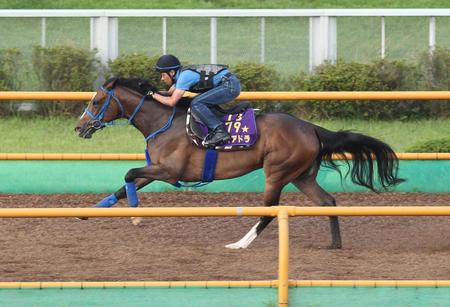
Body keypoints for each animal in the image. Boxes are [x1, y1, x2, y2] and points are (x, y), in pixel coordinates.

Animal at [74, 77, 404, 250]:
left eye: (95, 102)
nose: (79, 128)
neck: (162, 121)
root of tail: (311, 128)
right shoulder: (156, 169)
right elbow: (125, 182)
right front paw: (87, 212)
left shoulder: (170, 171)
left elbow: (129, 173)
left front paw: (135, 214)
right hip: (302, 176)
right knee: (328, 202)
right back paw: (334, 243)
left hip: (278, 172)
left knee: (270, 210)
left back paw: (240, 243)